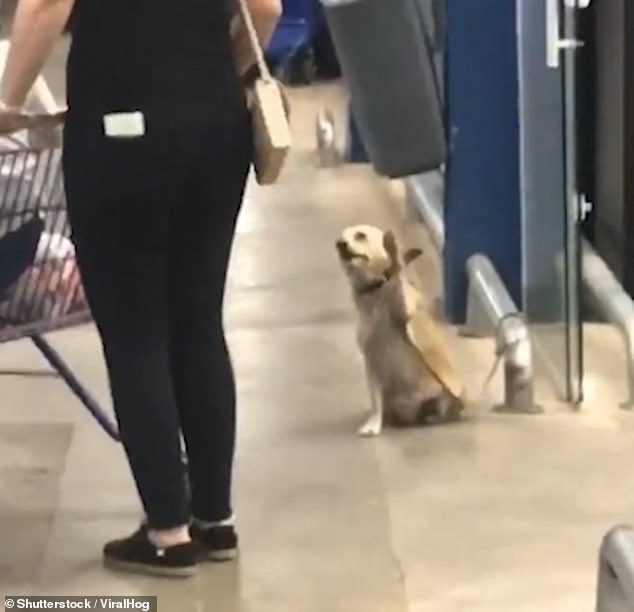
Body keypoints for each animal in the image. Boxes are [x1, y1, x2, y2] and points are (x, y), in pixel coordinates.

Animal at [336, 224, 464, 436]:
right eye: (339, 238)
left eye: (360, 235)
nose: (340, 244)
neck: (374, 292)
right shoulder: (371, 364)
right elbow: (375, 401)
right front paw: (372, 423)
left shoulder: (403, 311)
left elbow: (398, 280)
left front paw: (394, 255)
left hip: (441, 395)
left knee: (441, 407)